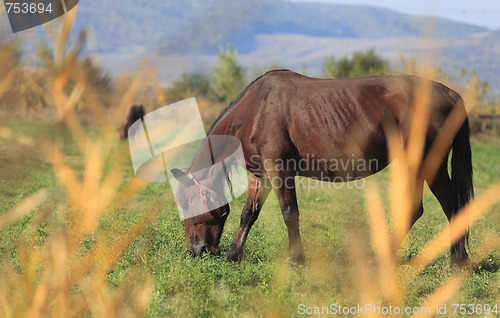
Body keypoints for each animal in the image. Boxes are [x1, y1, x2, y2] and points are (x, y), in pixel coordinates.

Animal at [171, 70, 472, 266]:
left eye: (186, 204)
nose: (196, 250)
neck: (255, 111)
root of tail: (448, 93)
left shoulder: (279, 170)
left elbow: (289, 213)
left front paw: (295, 259)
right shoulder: (261, 174)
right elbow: (249, 214)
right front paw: (234, 254)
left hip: (423, 162)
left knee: (425, 207)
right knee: (445, 205)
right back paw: (457, 260)